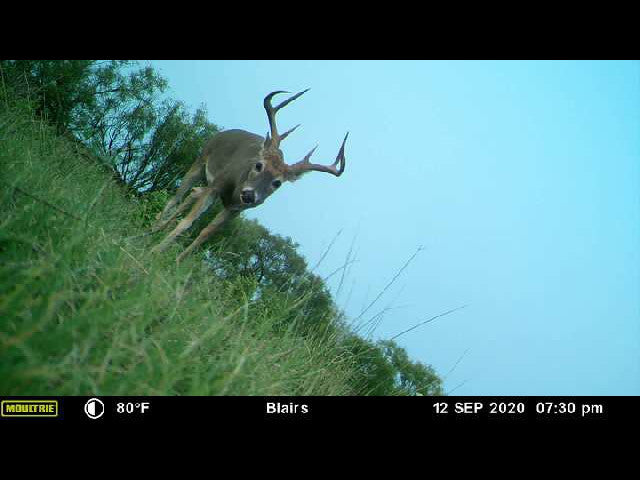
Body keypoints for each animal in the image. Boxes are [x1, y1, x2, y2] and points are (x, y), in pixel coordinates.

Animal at [150, 89, 349, 264]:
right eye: (258, 165)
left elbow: (206, 233)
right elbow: (188, 222)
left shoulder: (236, 210)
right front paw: (156, 251)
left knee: (194, 191)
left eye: (277, 183)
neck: (235, 190)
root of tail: (225, 132)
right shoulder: (218, 184)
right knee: (176, 197)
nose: (249, 195)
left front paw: (177, 261)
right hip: (201, 159)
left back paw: (160, 228)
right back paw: (153, 229)